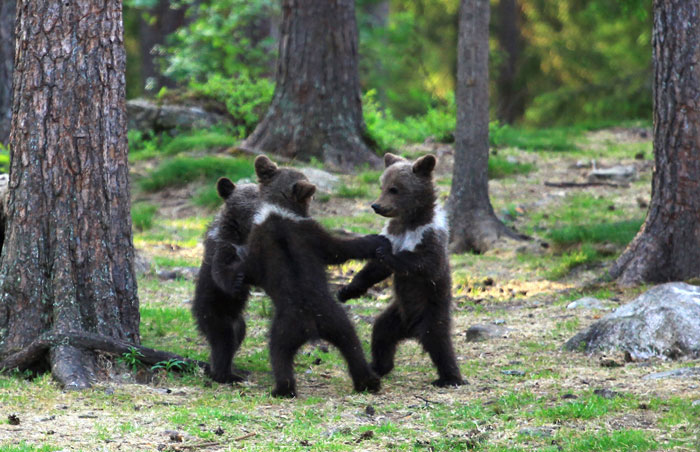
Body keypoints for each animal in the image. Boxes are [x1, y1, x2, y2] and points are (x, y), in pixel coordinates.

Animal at [191, 177, 260, 383]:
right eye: (251, 197)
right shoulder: (224, 248)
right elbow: (221, 273)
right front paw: (236, 283)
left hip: (237, 320)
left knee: (237, 336)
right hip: (213, 312)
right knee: (223, 341)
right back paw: (226, 375)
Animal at [229, 155, 391, 397]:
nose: (314, 194)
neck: (279, 210)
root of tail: (311, 325)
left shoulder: (287, 237)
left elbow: (339, 248)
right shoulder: (304, 235)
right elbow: (339, 249)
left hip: (302, 326)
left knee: (282, 354)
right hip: (329, 322)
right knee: (349, 346)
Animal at [338, 153, 465, 388]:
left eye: (394, 189)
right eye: (382, 185)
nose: (376, 205)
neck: (410, 221)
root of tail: (412, 330)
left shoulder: (430, 236)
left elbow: (424, 264)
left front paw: (385, 253)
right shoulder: (394, 233)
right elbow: (374, 270)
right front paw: (346, 291)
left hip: (432, 310)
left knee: (439, 341)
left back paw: (450, 377)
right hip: (396, 315)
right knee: (381, 333)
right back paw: (379, 366)